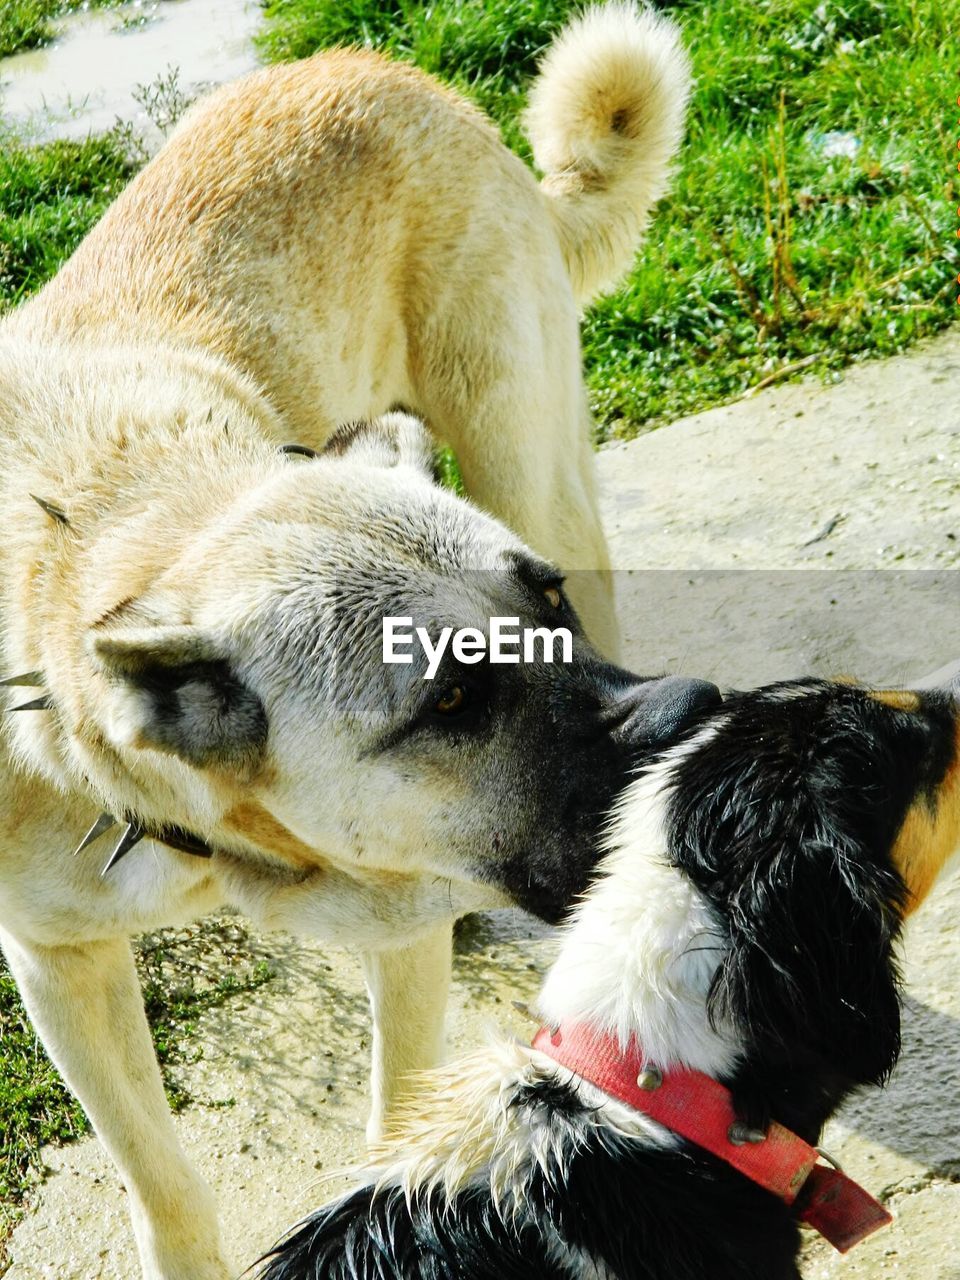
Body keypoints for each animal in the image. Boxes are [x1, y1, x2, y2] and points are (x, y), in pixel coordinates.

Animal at [0, 5, 691, 1274]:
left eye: (546, 608)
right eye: (451, 700)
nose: (686, 714)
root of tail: (380, 68)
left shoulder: (402, 925)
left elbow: (395, 1125)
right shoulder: (58, 966)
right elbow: (163, 1182)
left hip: (527, 454)